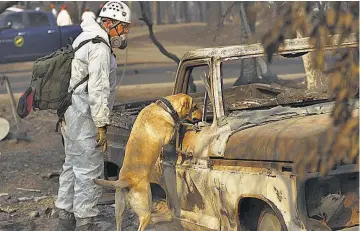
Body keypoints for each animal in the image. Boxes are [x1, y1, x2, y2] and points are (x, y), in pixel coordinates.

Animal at [94, 93, 201, 231]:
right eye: (195, 106)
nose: (200, 118)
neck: (164, 108)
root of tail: (127, 181)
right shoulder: (169, 137)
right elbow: (177, 133)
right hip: (145, 212)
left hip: (119, 212)